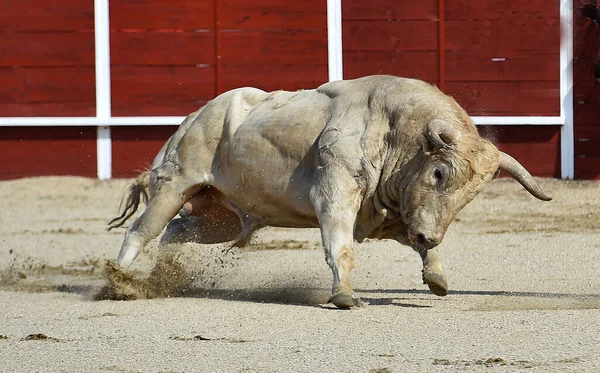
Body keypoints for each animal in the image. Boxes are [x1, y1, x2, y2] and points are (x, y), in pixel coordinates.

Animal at [106, 75, 548, 308]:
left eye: (470, 196)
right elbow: (341, 247)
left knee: (177, 232)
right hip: (175, 182)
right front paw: (345, 296)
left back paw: (160, 277)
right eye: (439, 173)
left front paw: (436, 277)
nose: (431, 234)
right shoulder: (335, 196)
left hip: (223, 217)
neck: (392, 131)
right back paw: (120, 280)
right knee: (142, 230)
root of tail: (192, 117)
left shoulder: (392, 213)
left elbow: (417, 244)